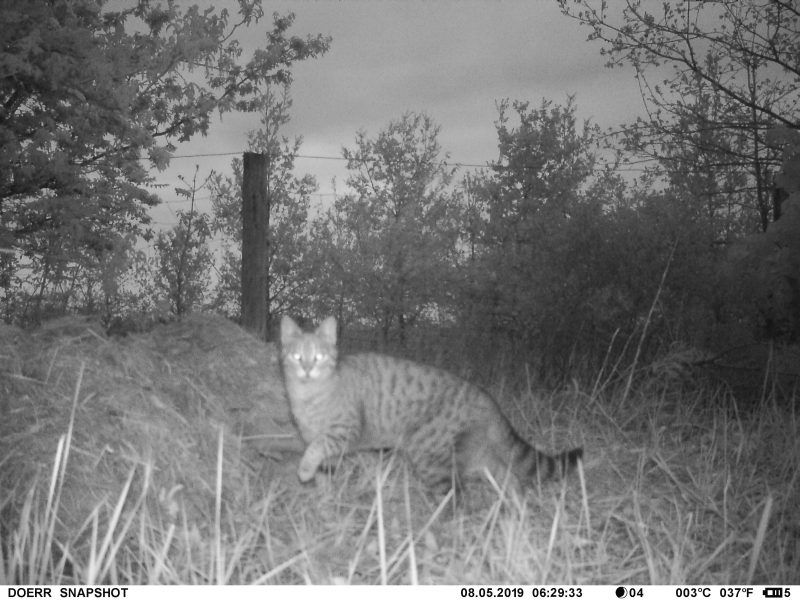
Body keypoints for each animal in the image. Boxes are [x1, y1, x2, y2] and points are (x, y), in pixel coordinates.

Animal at [280, 316, 580, 494]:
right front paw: (324, 504)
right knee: (509, 478)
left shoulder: (343, 431)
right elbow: (324, 475)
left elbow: (316, 450)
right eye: (296, 357)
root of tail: (484, 397)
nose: (307, 369)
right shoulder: (327, 450)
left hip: (430, 456)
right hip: (475, 456)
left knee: (456, 500)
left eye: (318, 357)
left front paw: (304, 472)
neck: (308, 395)